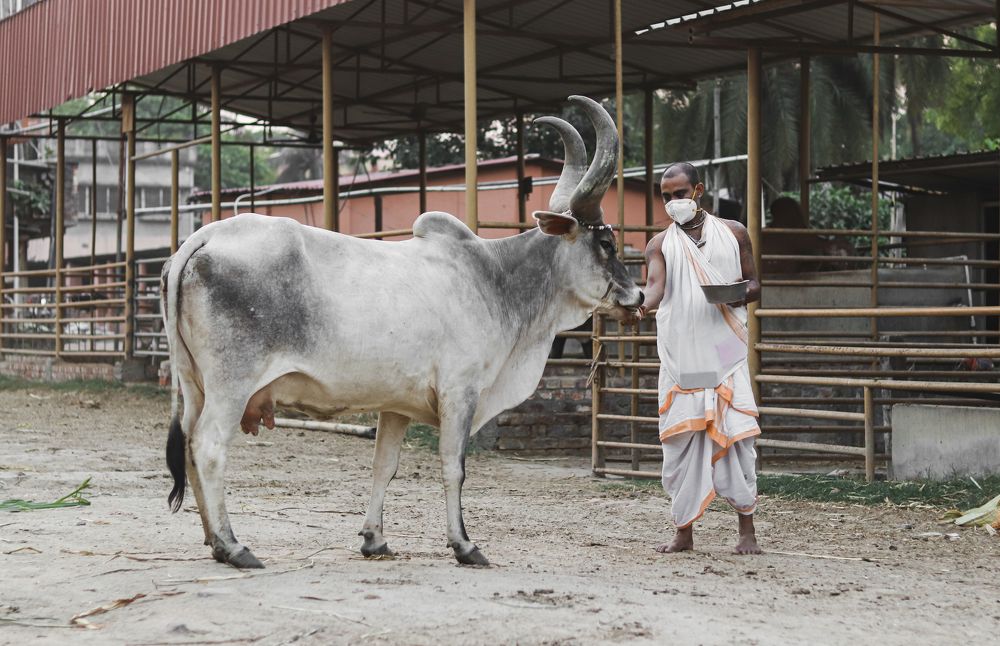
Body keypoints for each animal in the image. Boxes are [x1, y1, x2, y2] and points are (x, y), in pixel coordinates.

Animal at [161, 95, 643, 568]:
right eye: (606, 243)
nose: (637, 295)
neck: (494, 280)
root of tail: (202, 238)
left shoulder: (396, 405)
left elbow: (384, 466)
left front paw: (374, 539)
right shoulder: (460, 392)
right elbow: (453, 466)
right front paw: (464, 544)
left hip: (194, 384)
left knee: (188, 444)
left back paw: (213, 540)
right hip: (232, 384)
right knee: (208, 446)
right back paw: (233, 546)